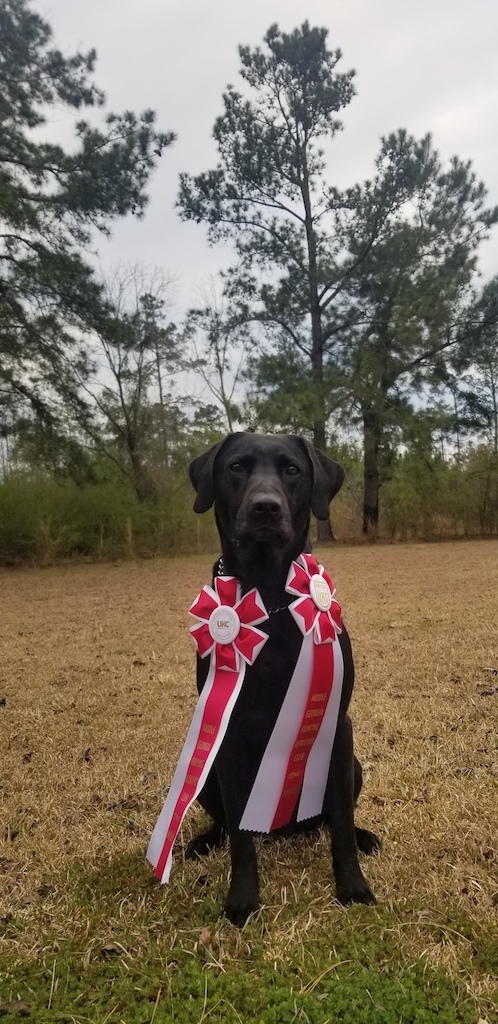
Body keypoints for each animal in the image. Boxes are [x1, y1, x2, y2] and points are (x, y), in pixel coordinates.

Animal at [185, 428, 377, 925]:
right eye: (236, 466)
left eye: (292, 469)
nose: (265, 507)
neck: (269, 596)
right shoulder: (227, 732)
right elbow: (240, 838)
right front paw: (242, 900)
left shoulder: (338, 725)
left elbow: (341, 826)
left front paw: (353, 887)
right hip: (207, 774)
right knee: (226, 823)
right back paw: (201, 842)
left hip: (352, 763)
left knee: (334, 817)